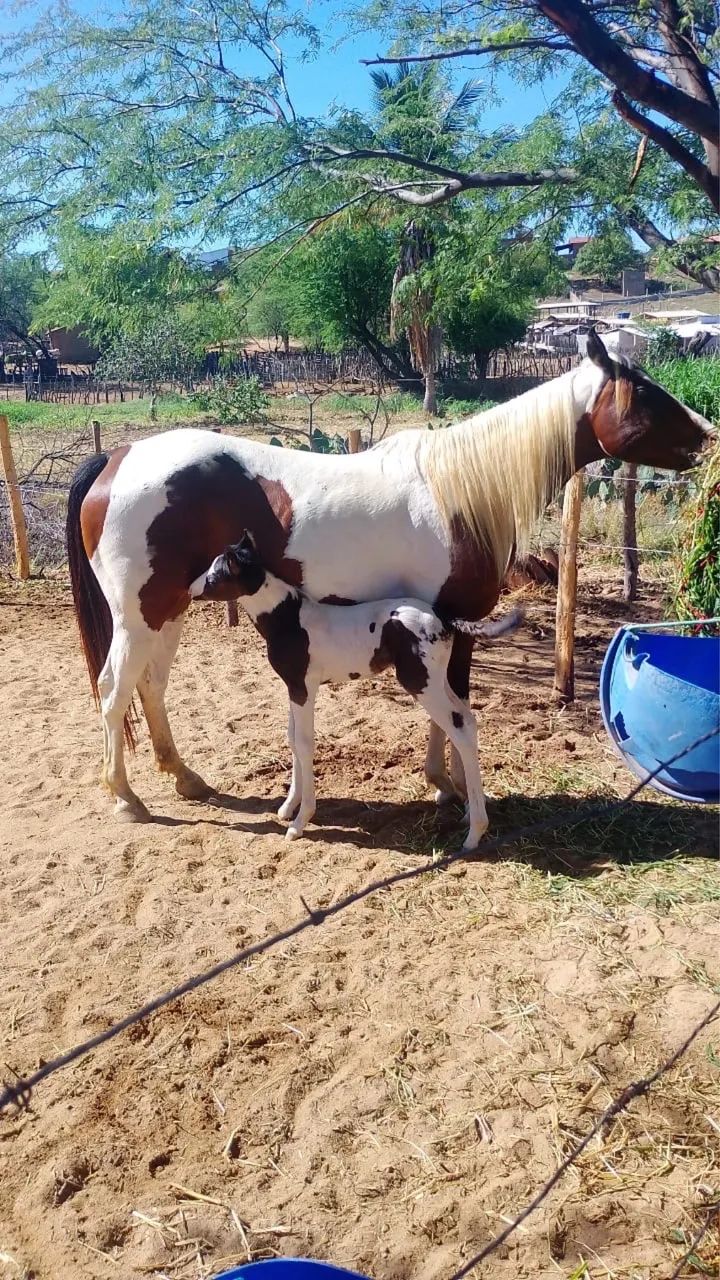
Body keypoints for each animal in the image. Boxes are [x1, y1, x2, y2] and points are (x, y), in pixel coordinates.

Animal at [190, 533, 524, 848]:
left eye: (214, 576)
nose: (191, 589)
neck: (288, 620)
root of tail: (443, 617)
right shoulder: (293, 687)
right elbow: (292, 738)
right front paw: (288, 807)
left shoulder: (304, 687)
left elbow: (304, 743)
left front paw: (300, 821)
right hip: (436, 680)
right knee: (468, 719)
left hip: (421, 683)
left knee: (461, 728)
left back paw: (474, 833)